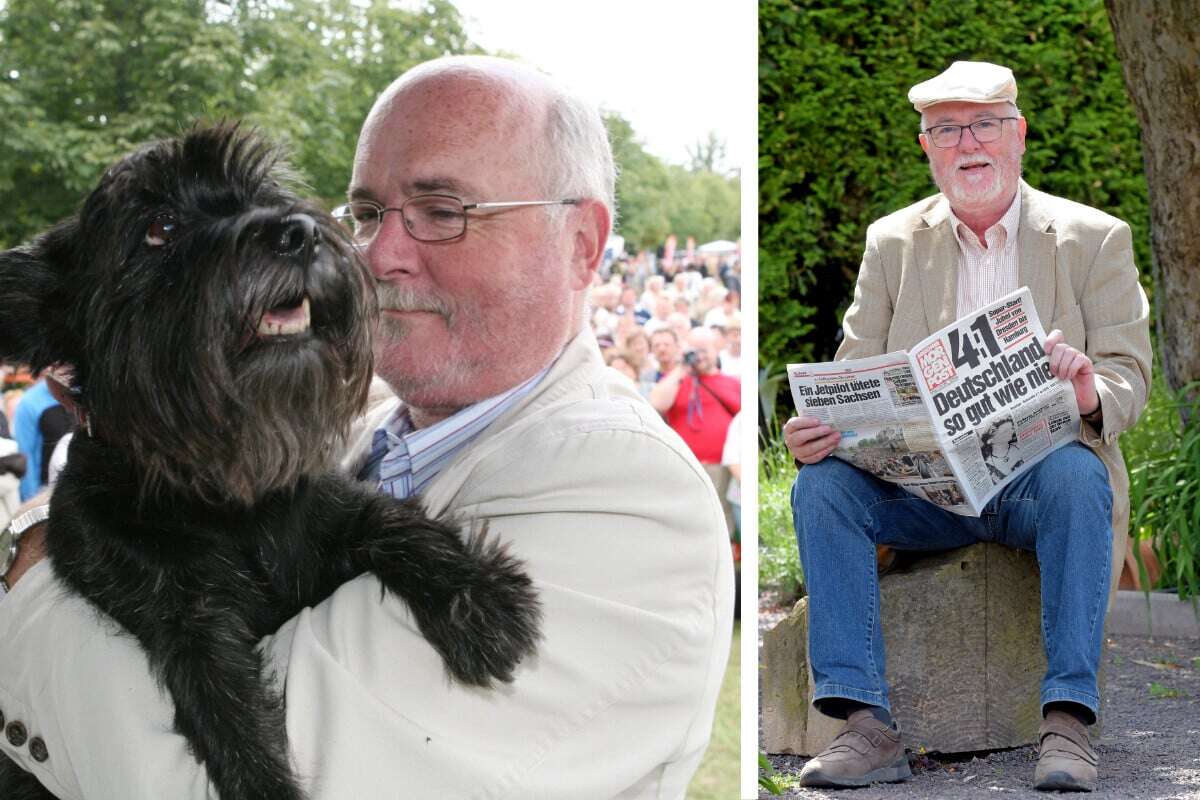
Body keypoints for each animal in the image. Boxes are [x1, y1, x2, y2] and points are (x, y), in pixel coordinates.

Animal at [0, 125, 540, 800]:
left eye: (263, 192)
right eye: (160, 225)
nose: (298, 232)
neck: (219, 491)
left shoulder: (330, 517)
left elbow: (393, 521)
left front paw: (478, 598)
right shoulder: (186, 622)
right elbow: (232, 726)